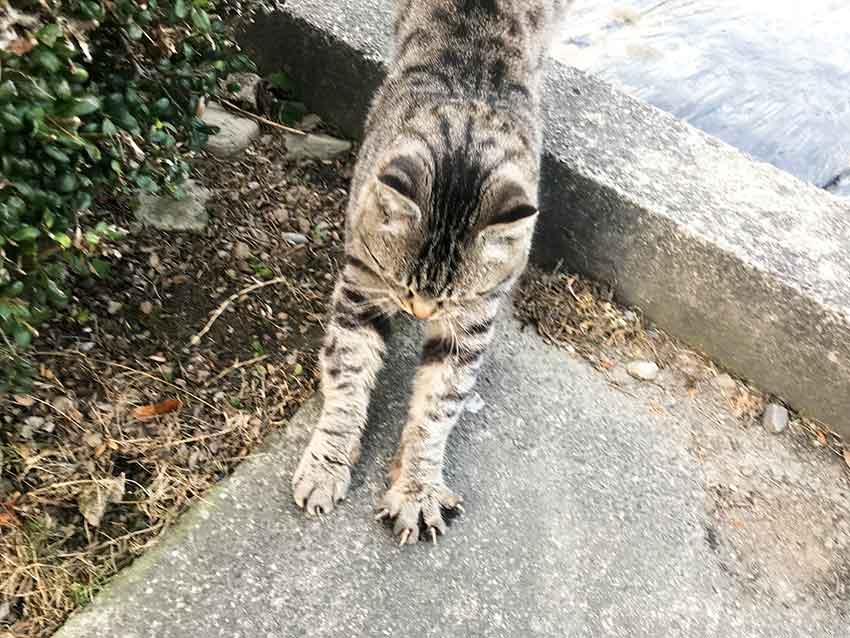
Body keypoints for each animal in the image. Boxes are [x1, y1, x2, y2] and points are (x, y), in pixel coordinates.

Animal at [292, 0, 570, 545]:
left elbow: (439, 405)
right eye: (401, 284)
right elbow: (348, 376)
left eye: (449, 298)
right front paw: (327, 462)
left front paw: (417, 487)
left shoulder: (472, 321)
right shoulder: (362, 284)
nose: (418, 312)